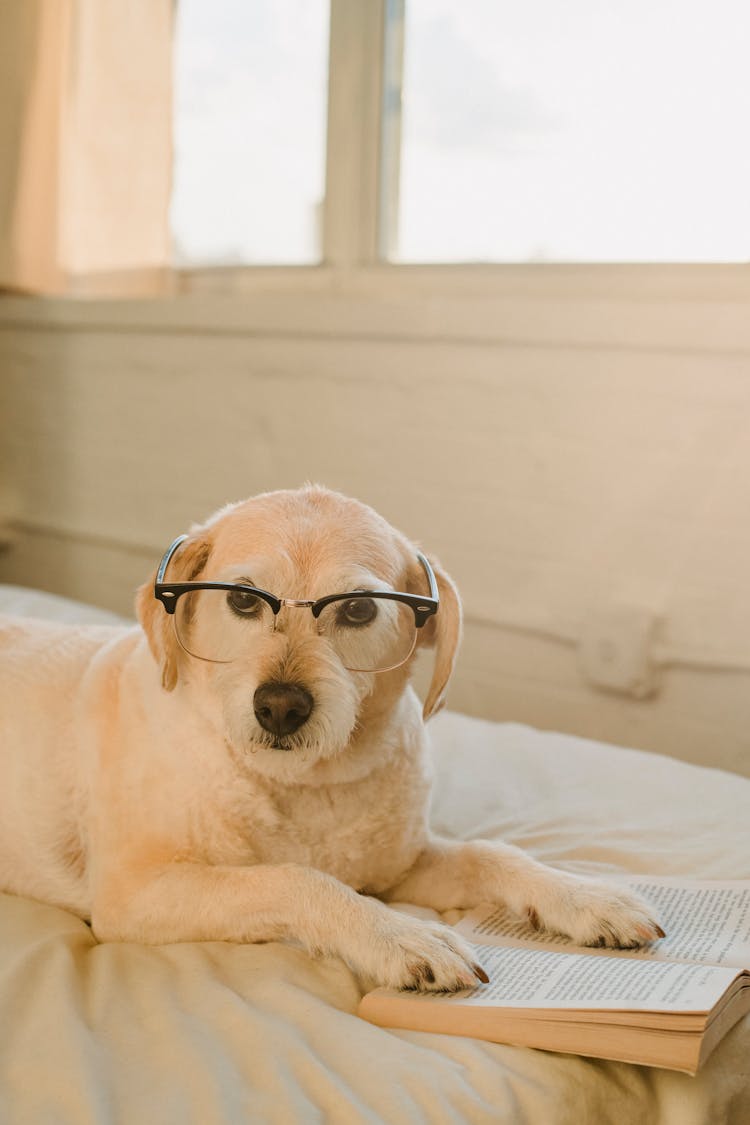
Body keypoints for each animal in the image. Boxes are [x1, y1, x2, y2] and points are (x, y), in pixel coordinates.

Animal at [0, 488, 661, 990]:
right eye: (241, 599)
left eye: (359, 611)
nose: (280, 707)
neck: (308, 786)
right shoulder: (135, 893)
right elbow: (295, 877)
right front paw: (400, 935)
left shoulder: (400, 868)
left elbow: (491, 853)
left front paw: (585, 897)